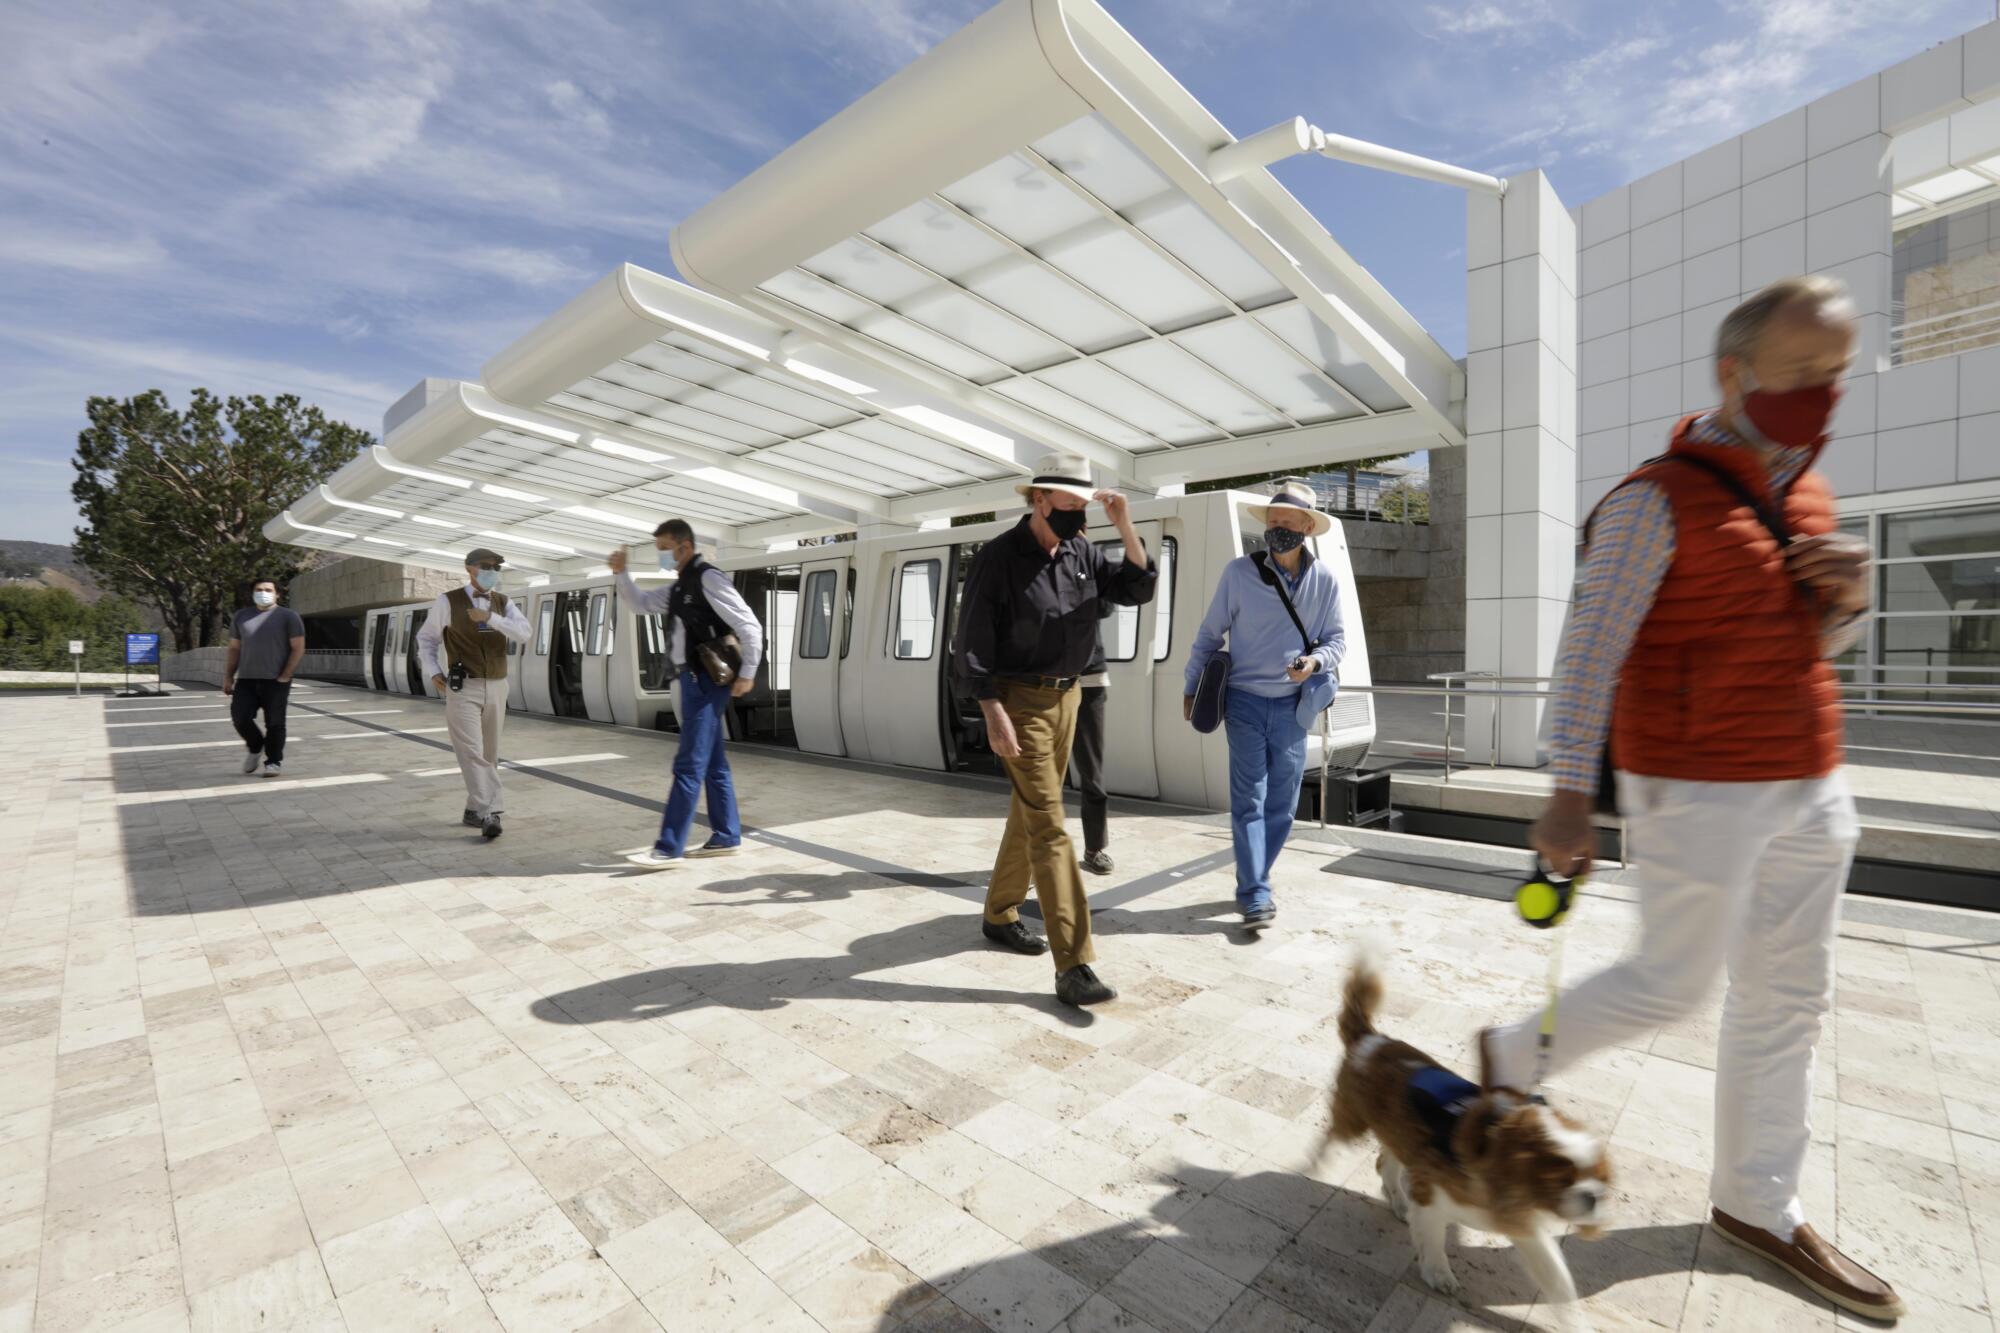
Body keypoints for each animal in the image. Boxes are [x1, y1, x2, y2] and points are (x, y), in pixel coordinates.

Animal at [1328, 956, 1608, 1296]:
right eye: (1561, 1179)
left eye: (1598, 1177)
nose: (1593, 1197)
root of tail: (1371, 1039)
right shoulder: (1431, 1201)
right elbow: (1434, 1243)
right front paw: (1439, 1274)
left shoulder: (1516, 1220)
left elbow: (1552, 1268)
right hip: (1357, 1122)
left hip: (1398, 1134)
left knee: (1385, 1163)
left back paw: (1396, 1200)